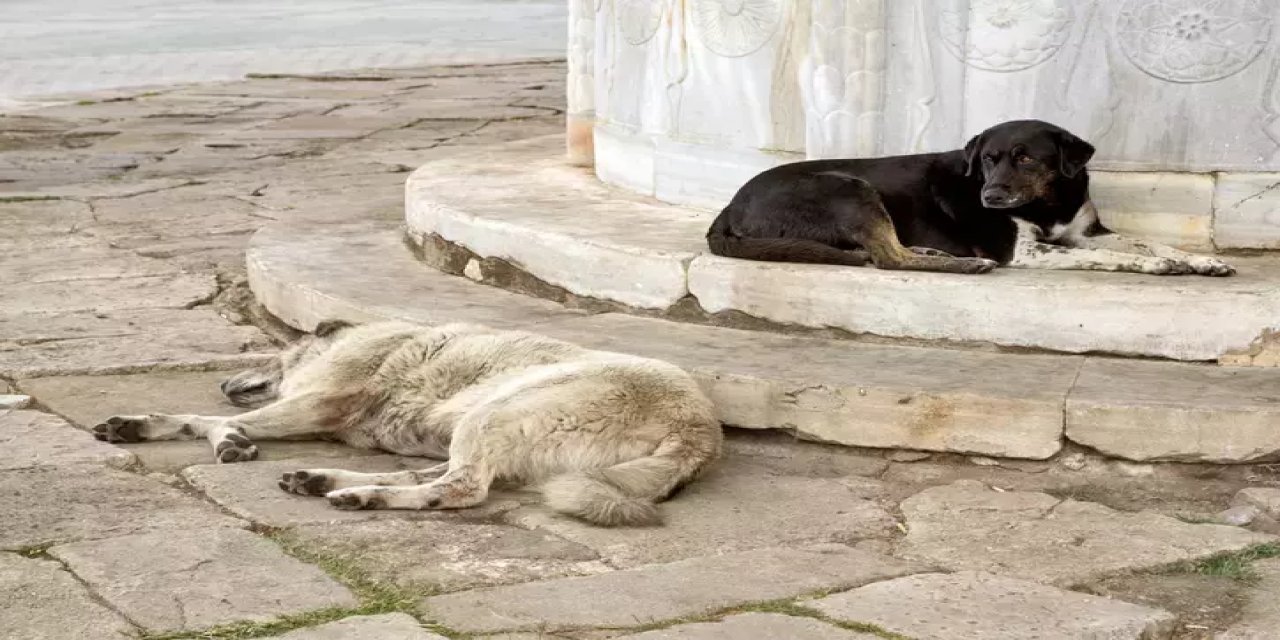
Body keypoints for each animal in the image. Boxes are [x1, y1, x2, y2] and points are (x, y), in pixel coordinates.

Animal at [92, 320, 721, 524]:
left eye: (271, 353)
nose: (225, 383)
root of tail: (698, 431)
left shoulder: (319, 402)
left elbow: (202, 420)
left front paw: (218, 433)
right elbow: (200, 420)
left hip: (496, 413)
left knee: (461, 489)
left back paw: (359, 496)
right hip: (489, 435)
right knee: (434, 478)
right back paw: (329, 482)